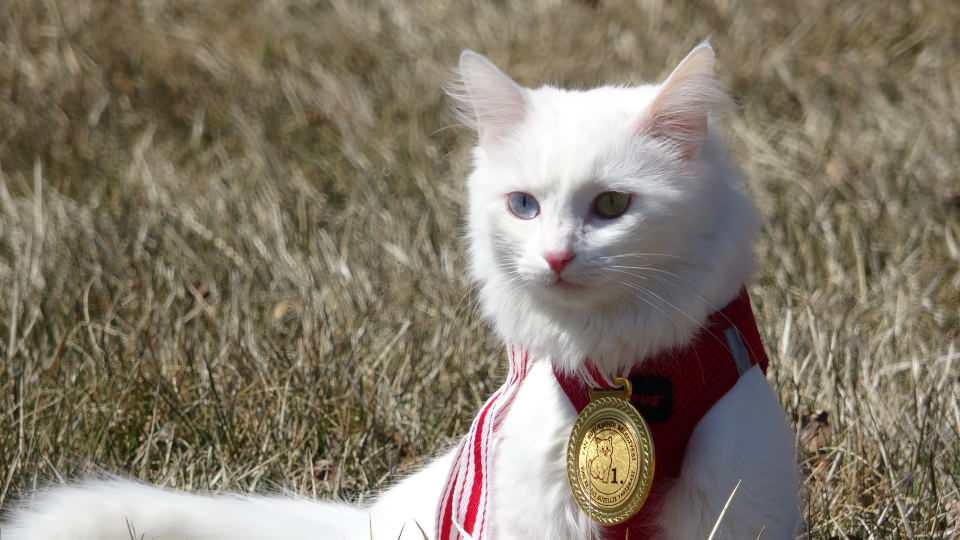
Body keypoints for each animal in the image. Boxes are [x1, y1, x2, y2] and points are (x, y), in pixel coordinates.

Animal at [0, 43, 800, 540]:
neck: (628, 376)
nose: (555, 257)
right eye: (524, 206)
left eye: (611, 206)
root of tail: (367, 523)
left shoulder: (732, 503)